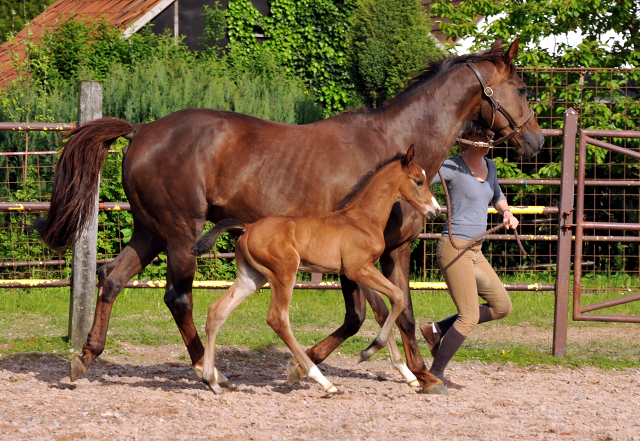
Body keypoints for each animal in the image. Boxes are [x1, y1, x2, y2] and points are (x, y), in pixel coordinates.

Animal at [190, 146, 440, 394]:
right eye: (419, 181)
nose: (436, 210)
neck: (362, 219)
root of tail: (248, 227)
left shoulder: (358, 272)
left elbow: (382, 310)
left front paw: (404, 371)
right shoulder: (359, 270)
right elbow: (398, 297)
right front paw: (371, 350)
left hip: (251, 278)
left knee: (217, 311)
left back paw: (211, 381)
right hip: (284, 274)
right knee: (278, 319)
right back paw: (321, 380)